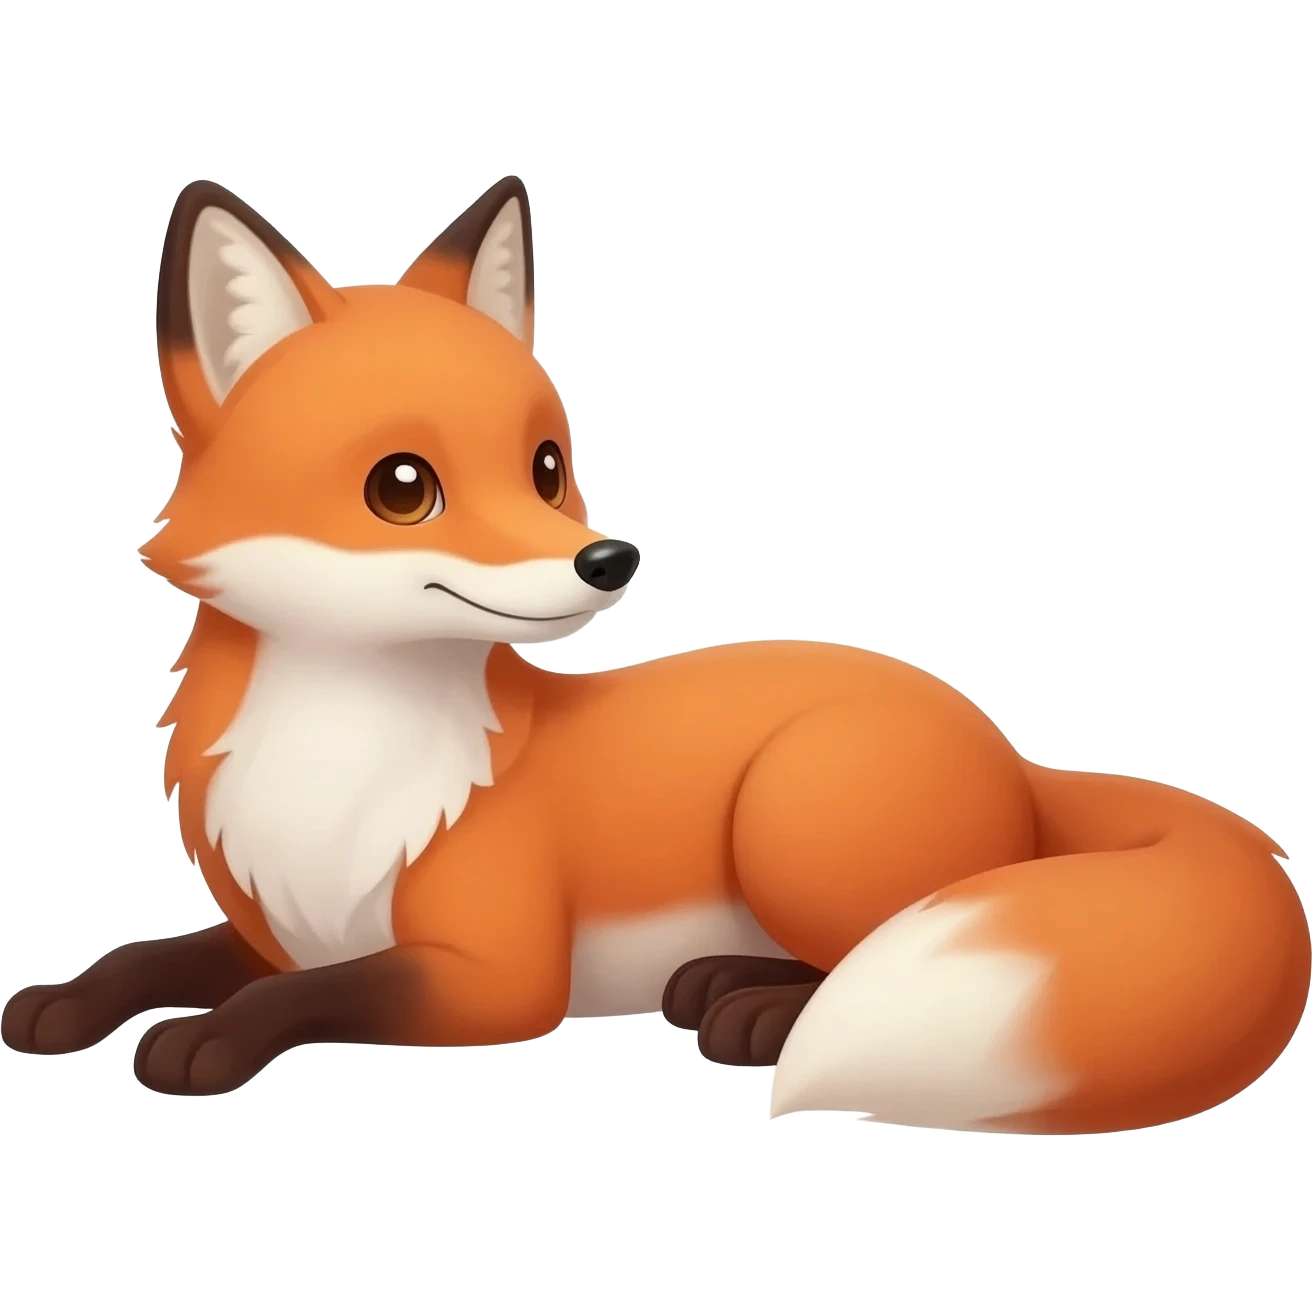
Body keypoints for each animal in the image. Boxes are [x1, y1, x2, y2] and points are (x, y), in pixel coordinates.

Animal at [2, 173, 1305, 1134]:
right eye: (402, 487)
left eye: (546, 466)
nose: (607, 558)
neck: (344, 765)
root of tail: (1010, 749)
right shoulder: (285, 919)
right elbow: (152, 955)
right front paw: (64, 1004)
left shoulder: (487, 974)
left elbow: (304, 994)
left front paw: (204, 1041)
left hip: (794, 814)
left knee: (859, 948)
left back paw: (754, 1012)